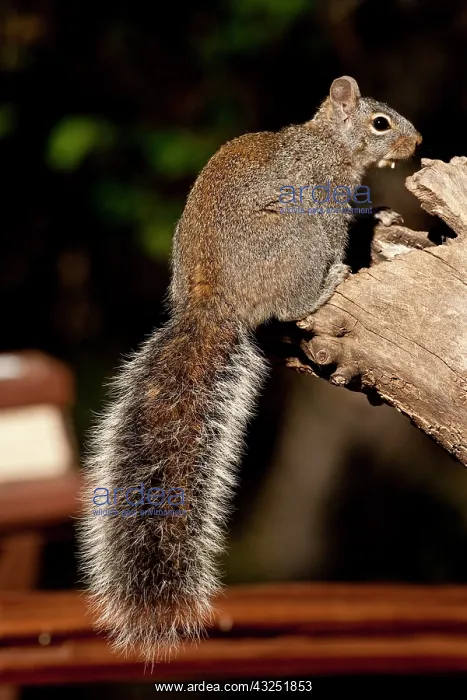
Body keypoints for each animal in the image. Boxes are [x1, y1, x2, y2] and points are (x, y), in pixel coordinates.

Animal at [78, 76, 421, 660]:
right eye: (381, 124)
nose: (416, 143)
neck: (325, 142)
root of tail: (215, 304)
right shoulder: (322, 194)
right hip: (300, 245)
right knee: (294, 301)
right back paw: (328, 282)